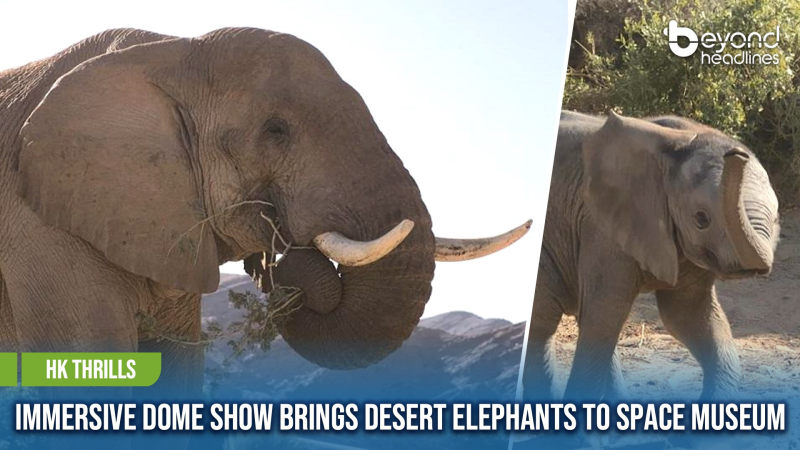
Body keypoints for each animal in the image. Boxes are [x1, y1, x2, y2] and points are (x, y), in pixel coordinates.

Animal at [522, 110, 780, 401]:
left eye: (776, 219)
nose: (737, 155)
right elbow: (604, 316)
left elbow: (689, 315)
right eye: (701, 219)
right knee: (544, 322)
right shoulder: (602, 229)